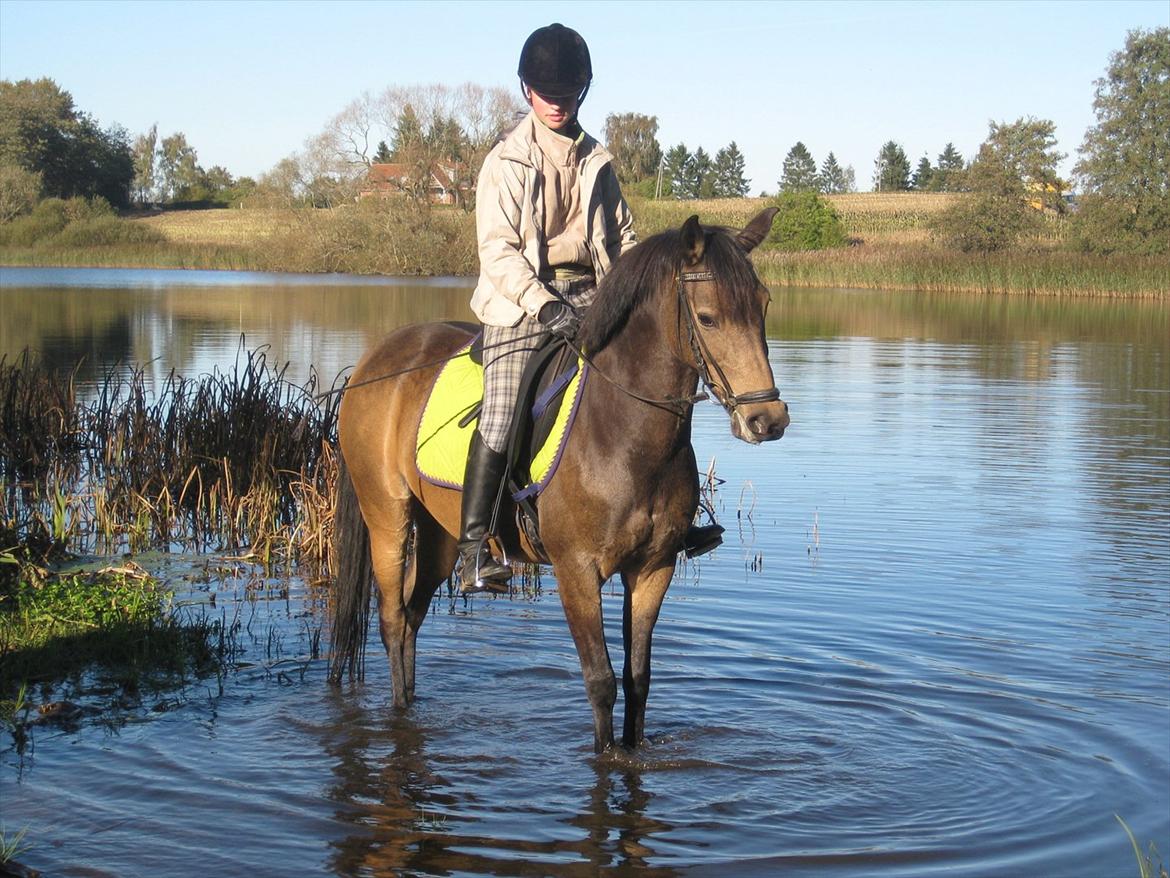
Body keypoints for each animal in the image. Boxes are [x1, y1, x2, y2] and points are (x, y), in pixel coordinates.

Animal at [325, 209, 790, 753]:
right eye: (708, 316)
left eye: (763, 305)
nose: (767, 420)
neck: (623, 433)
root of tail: (374, 361)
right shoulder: (577, 572)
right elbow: (601, 681)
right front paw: (607, 755)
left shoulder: (653, 570)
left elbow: (638, 679)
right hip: (387, 518)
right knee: (394, 619)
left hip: (440, 532)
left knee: (414, 615)